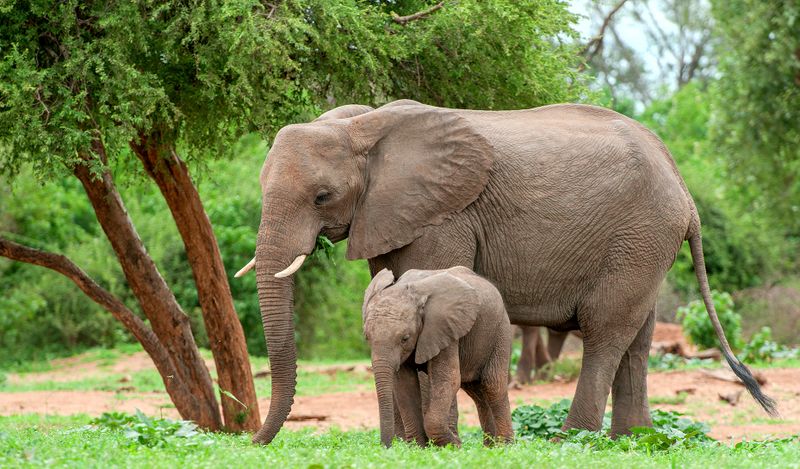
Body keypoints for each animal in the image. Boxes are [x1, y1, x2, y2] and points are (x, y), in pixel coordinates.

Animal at [362, 267, 513, 448]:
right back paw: (489, 447)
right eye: (367, 337)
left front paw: (453, 446)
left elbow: (448, 379)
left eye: (405, 338)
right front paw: (419, 448)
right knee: (476, 390)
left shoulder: (445, 328)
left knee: (492, 384)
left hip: (500, 330)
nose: (387, 446)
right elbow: (405, 385)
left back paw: (504, 446)